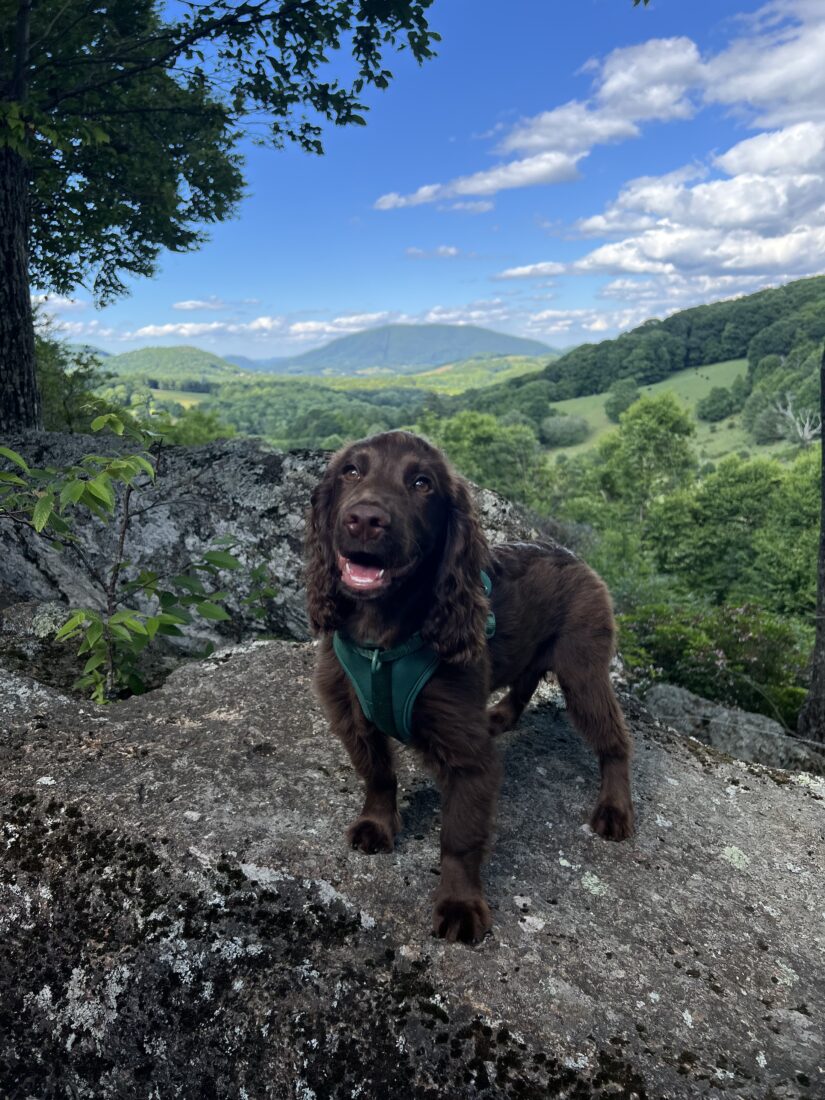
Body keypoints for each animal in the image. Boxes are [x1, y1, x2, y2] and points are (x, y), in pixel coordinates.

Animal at [308, 429, 638, 946]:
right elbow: (378, 773)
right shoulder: (350, 711)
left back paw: (615, 808)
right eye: (351, 471)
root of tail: (574, 556)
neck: (382, 635)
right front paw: (377, 825)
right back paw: (500, 715)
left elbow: (459, 838)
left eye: (422, 483)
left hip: (583, 672)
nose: (364, 520)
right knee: (525, 679)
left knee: (615, 740)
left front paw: (460, 906)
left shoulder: (467, 755)